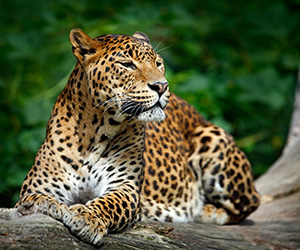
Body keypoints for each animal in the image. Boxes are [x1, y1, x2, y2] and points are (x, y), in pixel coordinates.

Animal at [15, 28, 260, 245]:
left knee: (249, 203)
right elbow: (33, 199)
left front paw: (86, 218)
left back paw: (205, 210)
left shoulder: (126, 186)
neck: (95, 131)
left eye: (158, 63)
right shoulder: (38, 186)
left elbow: (109, 203)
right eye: (127, 64)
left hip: (212, 136)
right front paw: (47, 205)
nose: (162, 86)